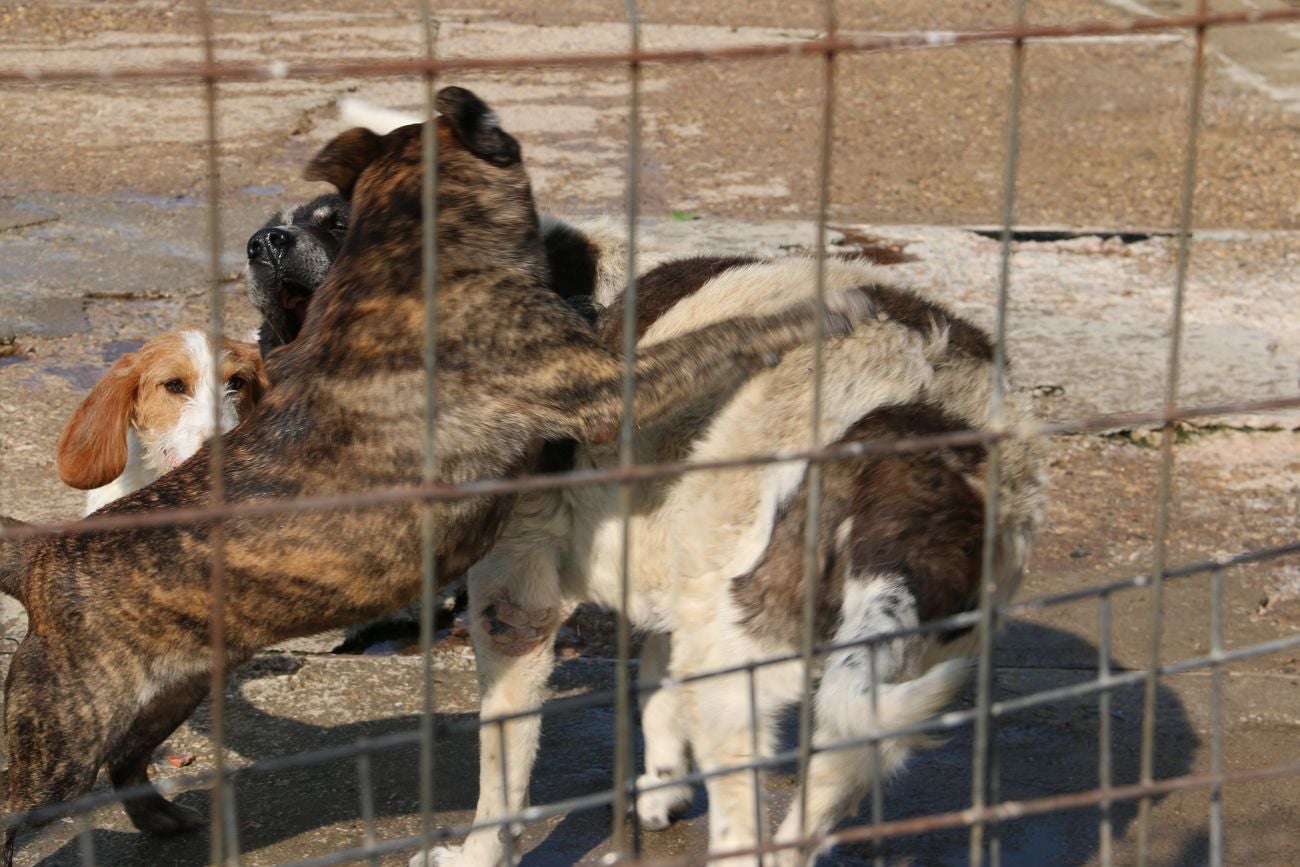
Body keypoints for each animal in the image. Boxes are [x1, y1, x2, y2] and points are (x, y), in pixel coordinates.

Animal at [0, 84, 878, 863]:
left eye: (331, 219)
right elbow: (722, 336)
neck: (404, 265)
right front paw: (819, 310)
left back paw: (157, 814)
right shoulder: (600, 389)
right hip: (61, 737)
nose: (264, 242)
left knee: (128, 754)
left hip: (167, 688)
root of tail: (43, 550)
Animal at [421, 250, 1050, 867]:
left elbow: (503, 768)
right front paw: (663, 787)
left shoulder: (512, 594)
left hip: (734, 670)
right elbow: (656, 686)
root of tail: (920, 409)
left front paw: (474, 855)